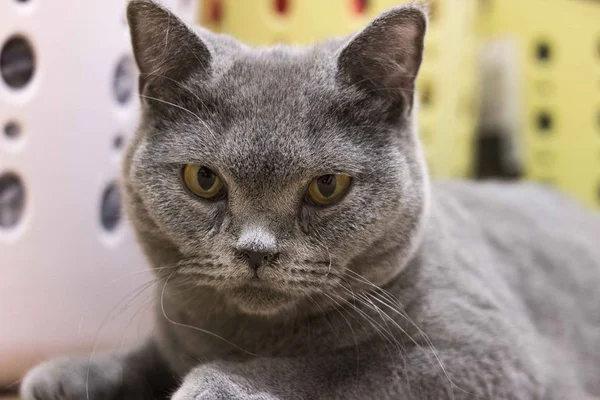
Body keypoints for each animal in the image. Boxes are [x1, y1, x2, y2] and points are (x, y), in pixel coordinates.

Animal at [18, 0, 600, 400]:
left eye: (327, 187)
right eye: (203, 179)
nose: (256, 251)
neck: (241, 338)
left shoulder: (479, 353)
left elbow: (332, 368)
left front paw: (217, 385)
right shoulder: (174, 332)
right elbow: (147, 356)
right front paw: (65, 374)